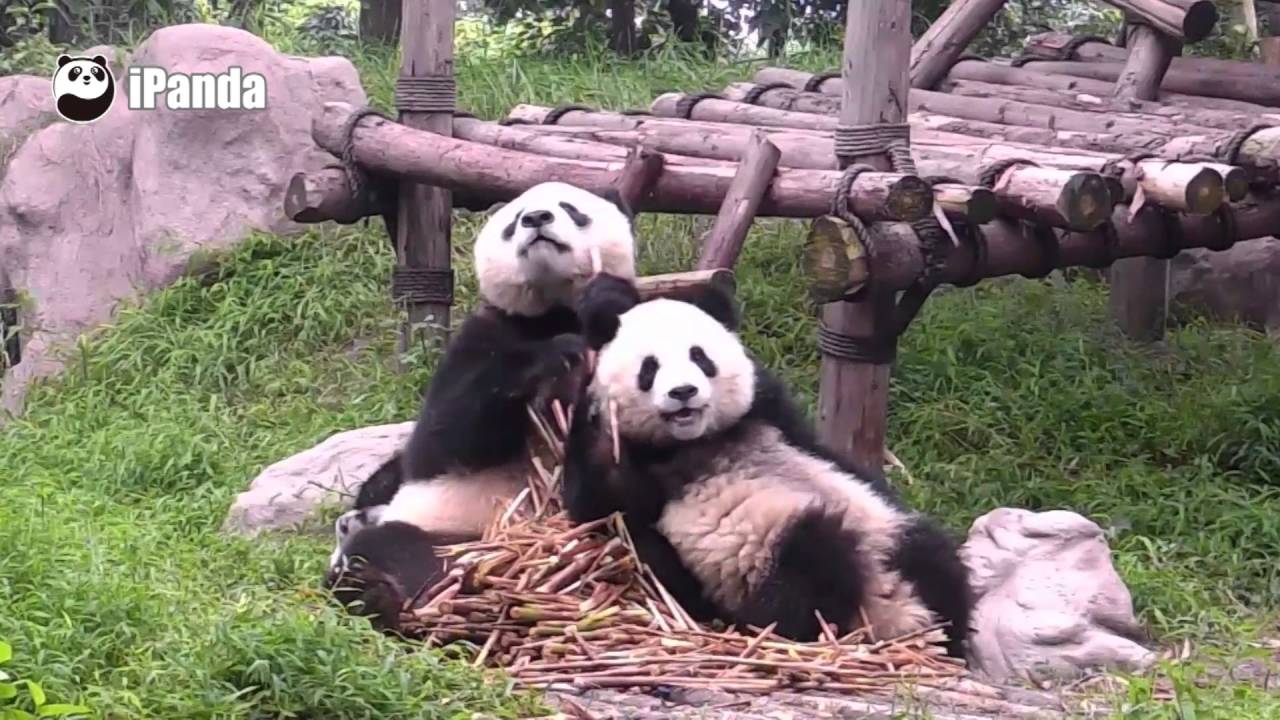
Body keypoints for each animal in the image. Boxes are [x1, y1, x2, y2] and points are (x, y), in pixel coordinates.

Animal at [325, 182, 638, 631]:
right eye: (515, 219)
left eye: (571, 208)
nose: (536, 219)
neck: (552, 310)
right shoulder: (480, 337)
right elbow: (444, 438)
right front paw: (556, 357)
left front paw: (605, 301)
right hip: (449, 530)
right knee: (396, 548)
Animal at [561, 277, 974, 658]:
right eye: (649, 368)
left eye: (700, 357)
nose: (683, 393)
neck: (695, 442)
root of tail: (895, 607)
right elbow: (598, 505)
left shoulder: (768, 410)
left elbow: (826, 451)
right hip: (763, 561)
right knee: (808, 567)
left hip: (888, 529)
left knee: (934, 559)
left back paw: (946, 629)